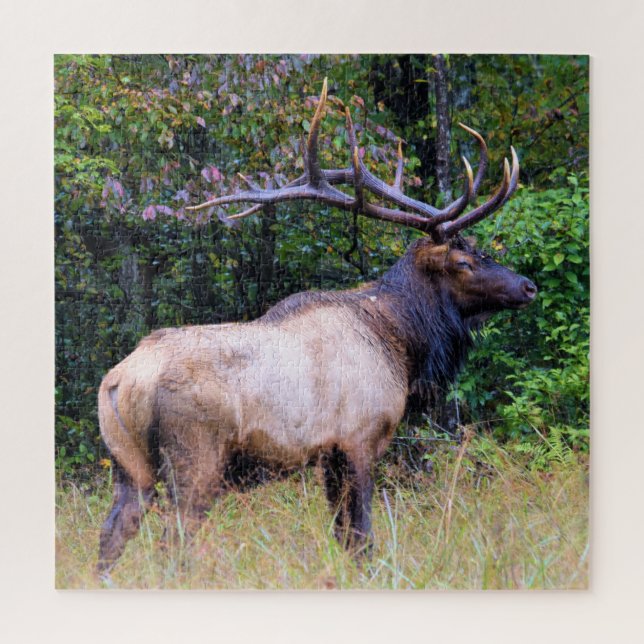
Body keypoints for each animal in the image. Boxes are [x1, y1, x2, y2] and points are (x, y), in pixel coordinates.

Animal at [97, 79, 537, 575]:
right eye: (463, 262)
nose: (528, 286)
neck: (402, 345)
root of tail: (120, 382)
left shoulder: (329, 454)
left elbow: (343, 535)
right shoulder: (359, 439)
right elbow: (362, 536)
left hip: (128, 464)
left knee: (112, 535)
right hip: (195, 458)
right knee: (175, 542)